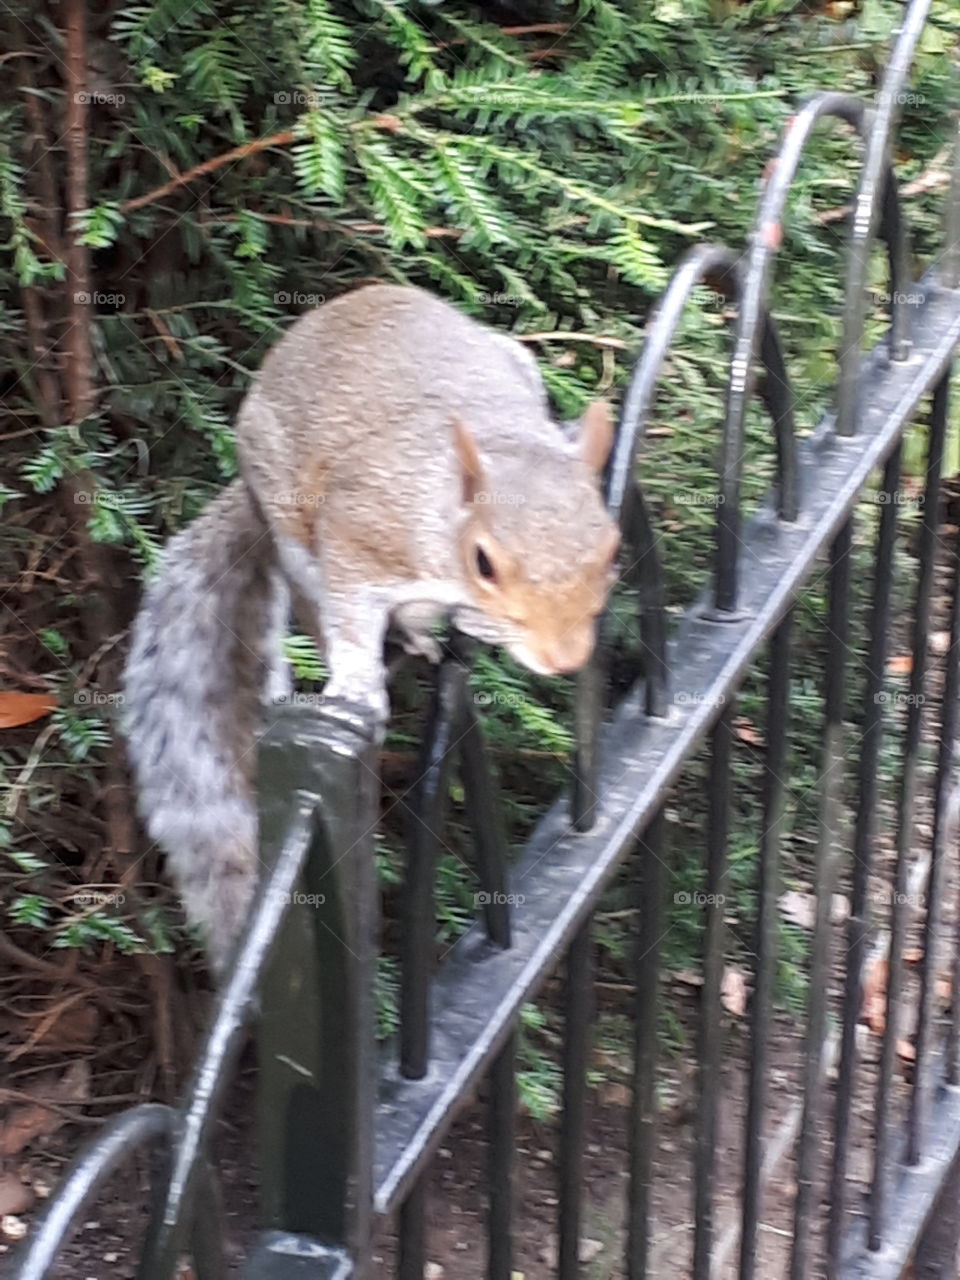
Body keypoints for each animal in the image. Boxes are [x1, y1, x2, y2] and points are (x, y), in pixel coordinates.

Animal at [122, 285, 624, 972]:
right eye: (485, 562)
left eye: (612, 548)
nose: (566, 657)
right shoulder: (358, 534)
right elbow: (352, 619)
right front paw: (359, 685)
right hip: (291, 525)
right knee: (317, 609)